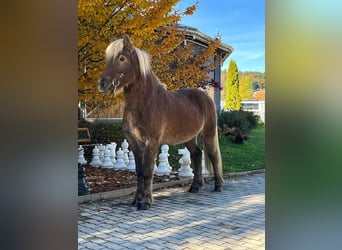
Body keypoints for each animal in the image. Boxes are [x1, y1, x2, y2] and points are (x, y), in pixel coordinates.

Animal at [97, 35, 223, 210]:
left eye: (122, 58)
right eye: (108, 59)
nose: (102, 83)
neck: (146, 102)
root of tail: (206, 97)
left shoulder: (151, 142)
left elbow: (147, 171)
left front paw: (145, 202)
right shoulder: (134, 143)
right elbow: (139, 172)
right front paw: (136, 200)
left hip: (208, 134)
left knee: (213, 156)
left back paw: (218, 186)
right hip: (189, 137)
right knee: (197, 155)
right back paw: (195, 186)